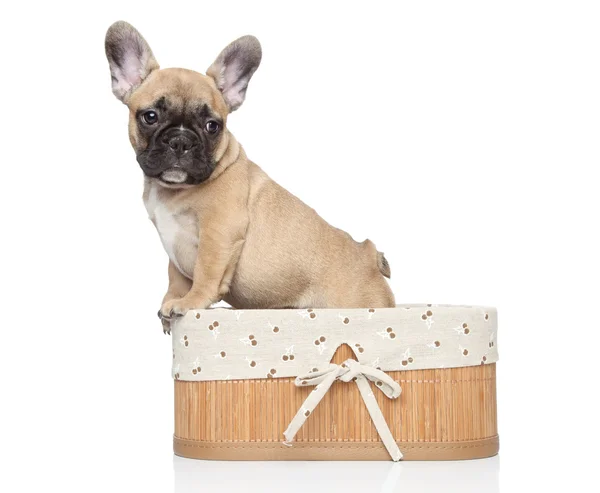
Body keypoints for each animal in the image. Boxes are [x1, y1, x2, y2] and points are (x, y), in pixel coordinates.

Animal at [104, 23, 394, 330]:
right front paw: (172, 302)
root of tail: (369, 256)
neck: (174, 191)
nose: (181, 141)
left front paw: (190, 303)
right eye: (150, 116)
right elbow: (177, 276)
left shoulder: (219, 231)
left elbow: (205, 272)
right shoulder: (175, 247)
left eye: (212, 126)